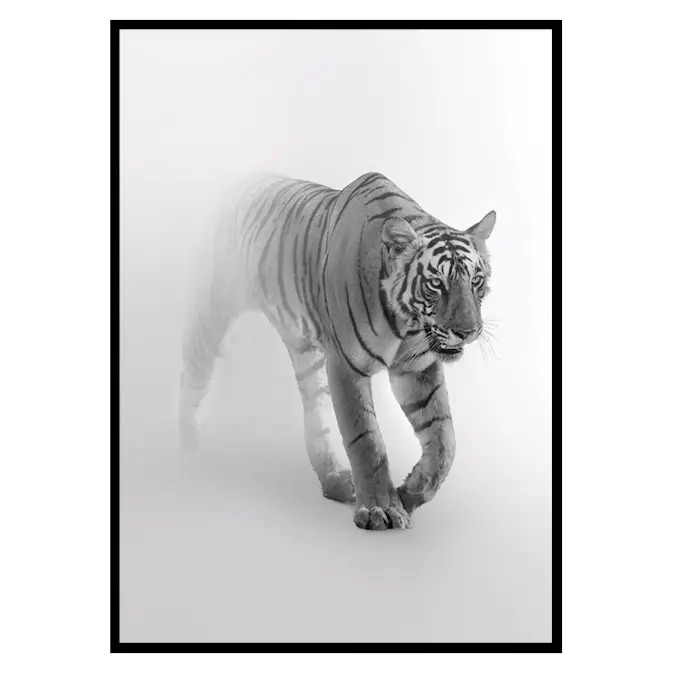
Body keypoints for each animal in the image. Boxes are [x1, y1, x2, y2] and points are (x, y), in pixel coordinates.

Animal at [179, 171, 496, 531]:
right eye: (436, 284)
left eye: (476, 281)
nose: (468, 332)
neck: (407, 325)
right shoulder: (346, 365)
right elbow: (367, 439)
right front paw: (381, 509)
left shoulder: (416, 369)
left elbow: (445, 441)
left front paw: (410, 493)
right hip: (214, 308)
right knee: (193, 374)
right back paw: (187, 451)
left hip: (307, 354)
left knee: (316, 416)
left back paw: (334, 481)